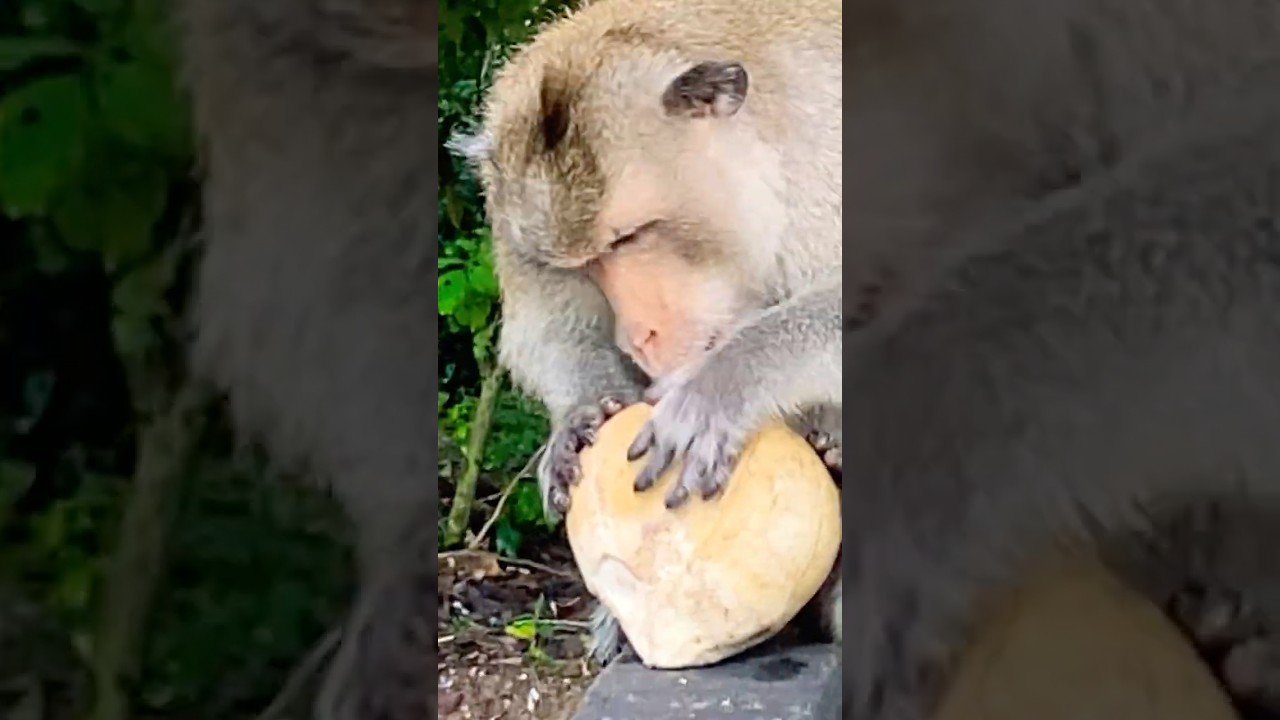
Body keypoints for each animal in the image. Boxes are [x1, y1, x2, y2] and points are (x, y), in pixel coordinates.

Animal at [452, 0, 844, 662]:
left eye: (630, 238)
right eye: (585, 263)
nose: (641, 336)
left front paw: (723, 385)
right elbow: (543, 329)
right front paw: (581, 415)